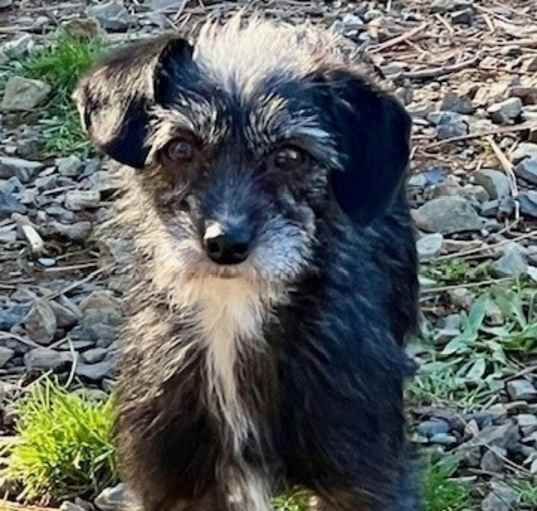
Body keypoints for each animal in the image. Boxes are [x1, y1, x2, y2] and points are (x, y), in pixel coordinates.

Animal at [73, 14, 420, 511]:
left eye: (290, 155)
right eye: (181, 148)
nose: (225, 243)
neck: (231, 310)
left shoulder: (364, 479)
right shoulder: (171, 478)